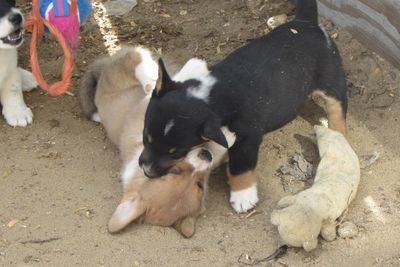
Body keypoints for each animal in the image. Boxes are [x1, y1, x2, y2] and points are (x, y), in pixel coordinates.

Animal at [140, 0, 346, 214]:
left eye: (176, 152)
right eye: (145, 137)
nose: (147, 171)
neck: (209, 96)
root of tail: (305, 22)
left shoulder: (248, 136)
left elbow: (241, 166)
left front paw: (243, 196)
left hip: (330, 80)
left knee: (337, 107)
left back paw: (338, 134)